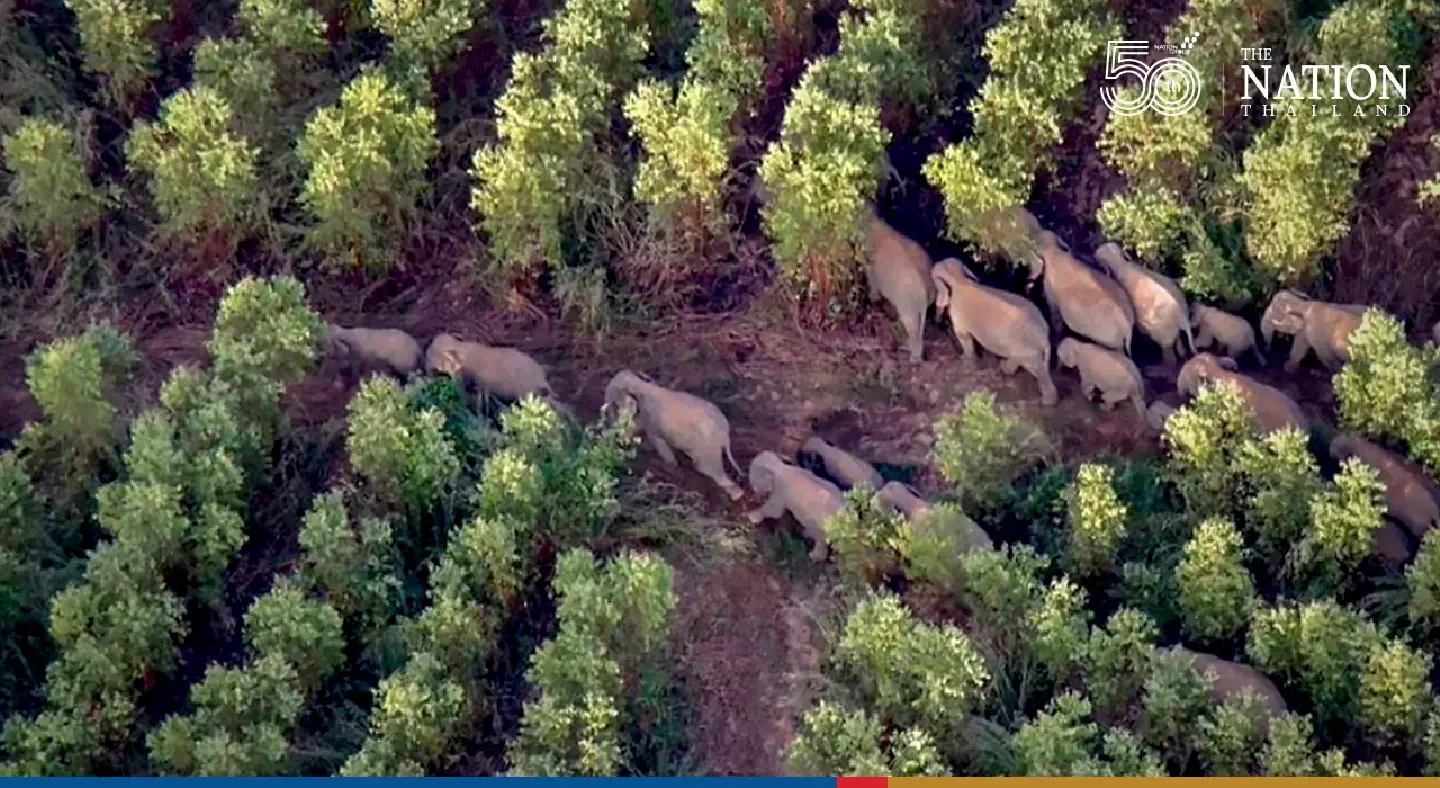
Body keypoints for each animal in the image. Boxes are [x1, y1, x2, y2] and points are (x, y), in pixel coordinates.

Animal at [604, 370, 744, 501]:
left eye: (614, 402)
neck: (641, 384)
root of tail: (725, 435)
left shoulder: (652, 422)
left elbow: (659, 444)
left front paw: (671, 467)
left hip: (706, 447)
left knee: (707, 468)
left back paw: (737, 496)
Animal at [931, 258, 1058, 405]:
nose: (938, 322)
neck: (960, 278)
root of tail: (1045, 336)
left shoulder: (959, 314)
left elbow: (964, 338)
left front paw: (965, 363)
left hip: (1028, 350)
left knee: (1038, 371)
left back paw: (1048, 401)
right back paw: (1004, 367)